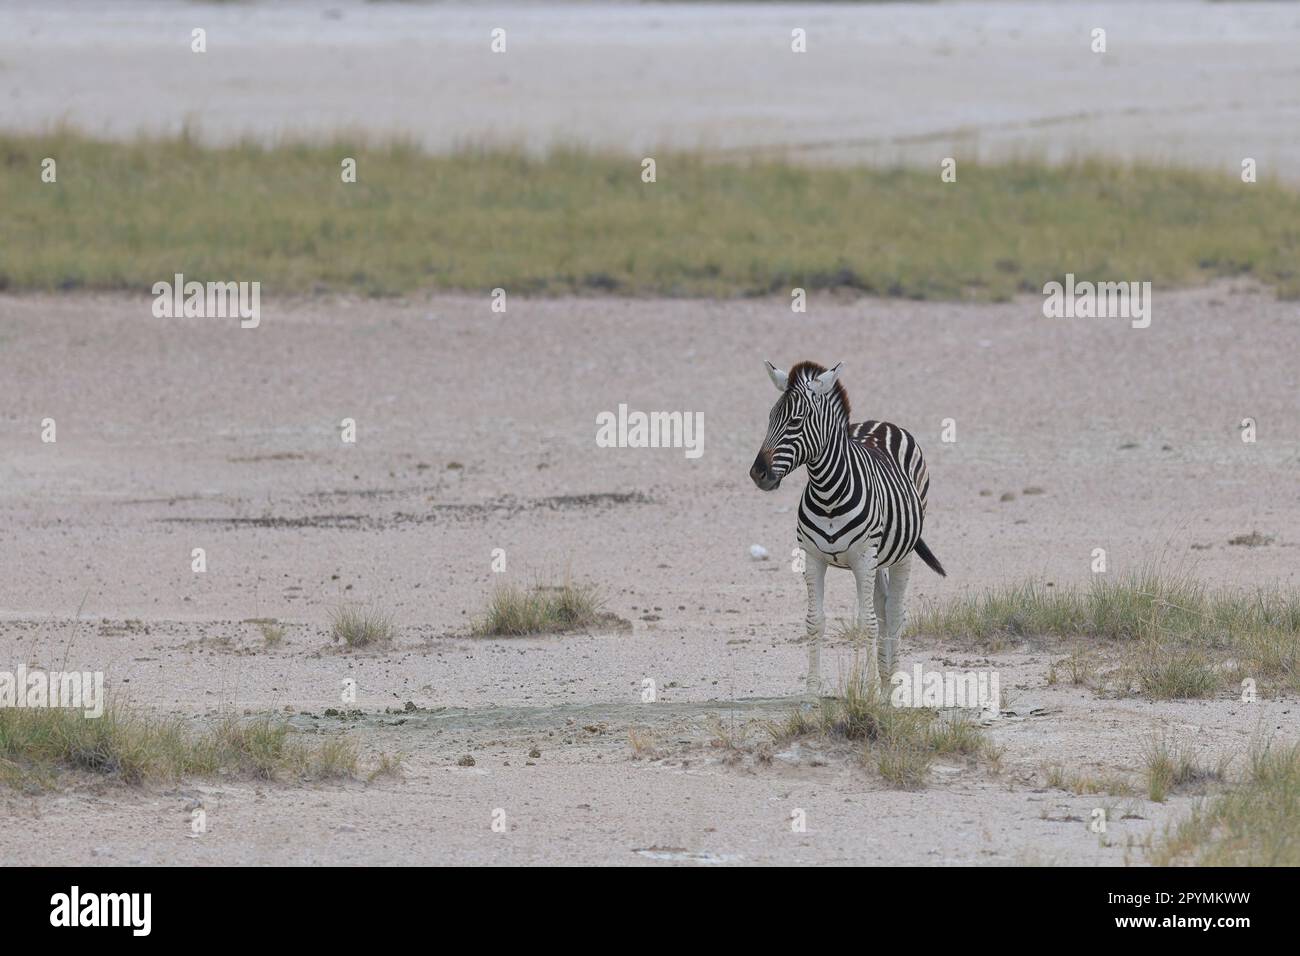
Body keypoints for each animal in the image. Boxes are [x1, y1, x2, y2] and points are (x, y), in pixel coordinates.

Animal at [754, 361, 946, 691]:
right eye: (770, 417)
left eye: (796, 421)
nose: (757, 473)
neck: (828, 493)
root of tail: (881, 422)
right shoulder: (813, 557)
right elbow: (815, 621)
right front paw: (813, 691)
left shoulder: (863, 557)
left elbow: (866, 622)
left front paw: (867, 690)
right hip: (879, 558)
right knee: (882, 607)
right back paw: (885, 678)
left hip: (901, 553)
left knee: (893, 612)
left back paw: (892, 684)